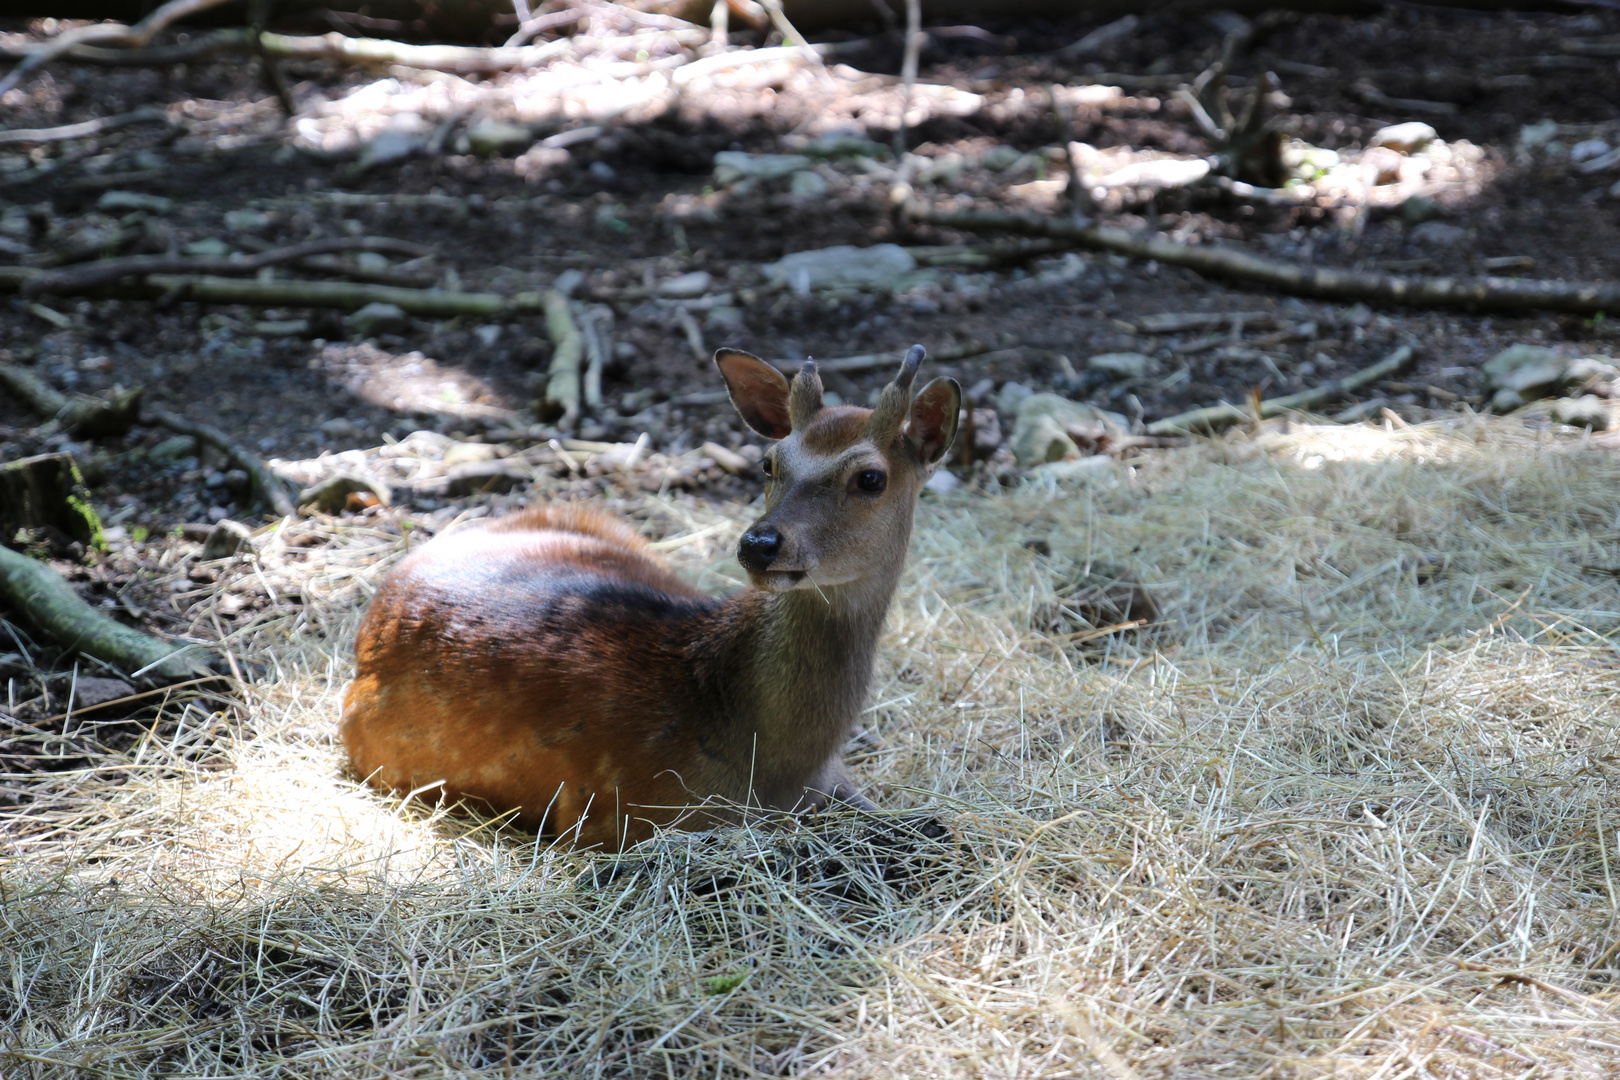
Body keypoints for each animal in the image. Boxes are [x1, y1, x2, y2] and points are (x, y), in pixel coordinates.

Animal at [335, 346, 952, 854]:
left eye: (870, 478)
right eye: (769, 463)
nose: (760, 544)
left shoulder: (838, 782)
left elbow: (928, 823)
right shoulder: (627, 816)